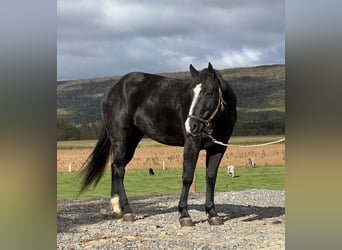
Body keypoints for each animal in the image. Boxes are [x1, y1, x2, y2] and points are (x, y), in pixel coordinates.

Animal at [80, 62, 236, 227]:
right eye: (191, 94)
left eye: (209, 92)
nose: (190, 126)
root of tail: (113, 90)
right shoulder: (191, 145)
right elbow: (187, 177)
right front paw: (184, 215)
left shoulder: (218, 148)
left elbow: (211, 178)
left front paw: (212, 214)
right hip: (120, 141)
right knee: (119, 171)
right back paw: (127, 211)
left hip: (131, 142)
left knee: (115, 167)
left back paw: (117, 209)